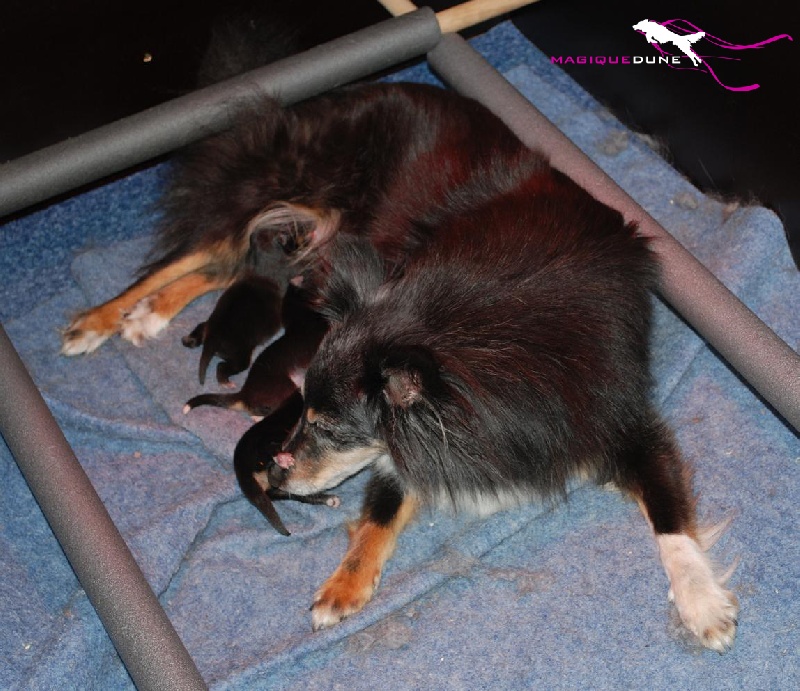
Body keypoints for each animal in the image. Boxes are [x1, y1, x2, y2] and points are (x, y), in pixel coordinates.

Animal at [234, 390, 340, 536]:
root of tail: (240, 461)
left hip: (274, 487)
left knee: (293, 494)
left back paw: (329, 500)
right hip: (267, 441)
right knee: (270, 449)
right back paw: (282, 458)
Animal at [272, 155, 740, 648]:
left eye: (328, 427)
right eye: (301, 411)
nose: (274, 478)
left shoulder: (631, 429)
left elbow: (671, 521)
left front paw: (702, 600)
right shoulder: (410, 454)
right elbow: (376, 518)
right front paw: (343, 585)